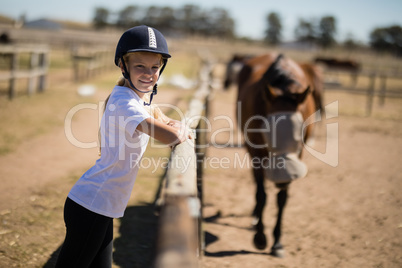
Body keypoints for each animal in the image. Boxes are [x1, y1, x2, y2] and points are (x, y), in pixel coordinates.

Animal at [237, 52, 322, 258]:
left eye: (300, 137)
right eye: (268, 134)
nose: (282, 177)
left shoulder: (298, 157)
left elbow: (282, 199)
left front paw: (277, 242)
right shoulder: (257, 153)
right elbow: (261, 194)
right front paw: (260, 237)